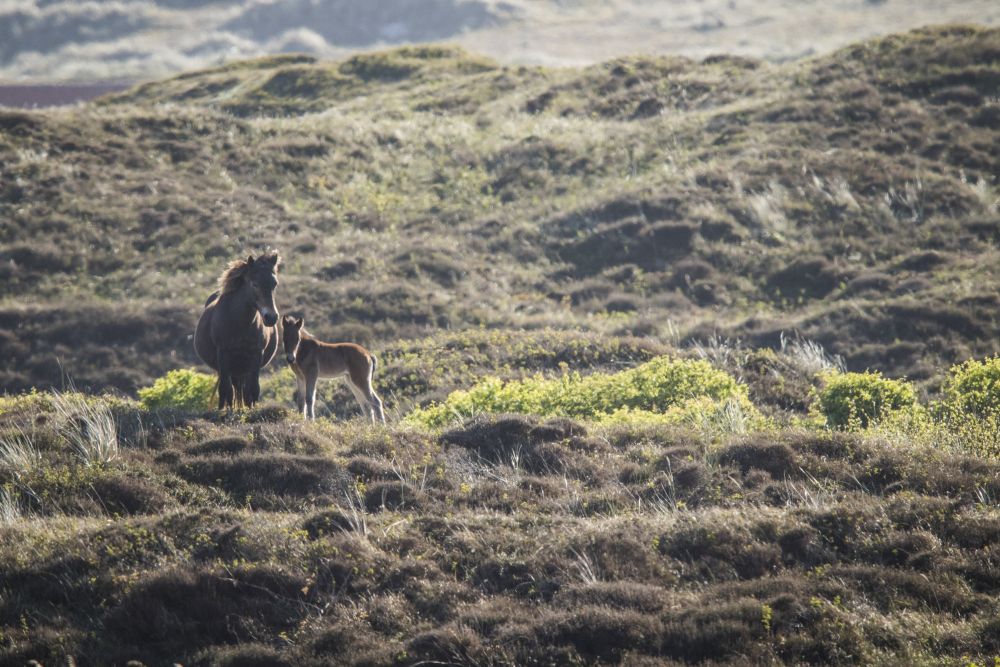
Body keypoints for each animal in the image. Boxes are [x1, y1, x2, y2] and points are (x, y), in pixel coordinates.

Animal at [195, 253, 282, 410]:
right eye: (255, 284)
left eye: (275, 284)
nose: (271, 317)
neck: (240, 323)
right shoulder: (223, 355)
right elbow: (226, 389)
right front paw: (228, 411)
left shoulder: (256, 355)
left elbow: (253, 390)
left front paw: (251, 410)